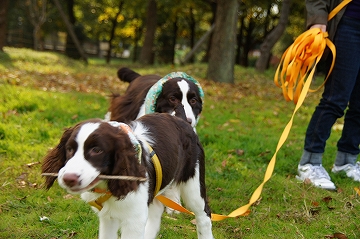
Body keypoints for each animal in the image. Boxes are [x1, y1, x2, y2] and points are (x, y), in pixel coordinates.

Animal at [41, 112, 214, 239]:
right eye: (69, 149)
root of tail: (181, 119)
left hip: (193, 184)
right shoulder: (108, 218)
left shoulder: (134, 219)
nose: (68, 179)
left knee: (203, 215)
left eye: (97, 150)